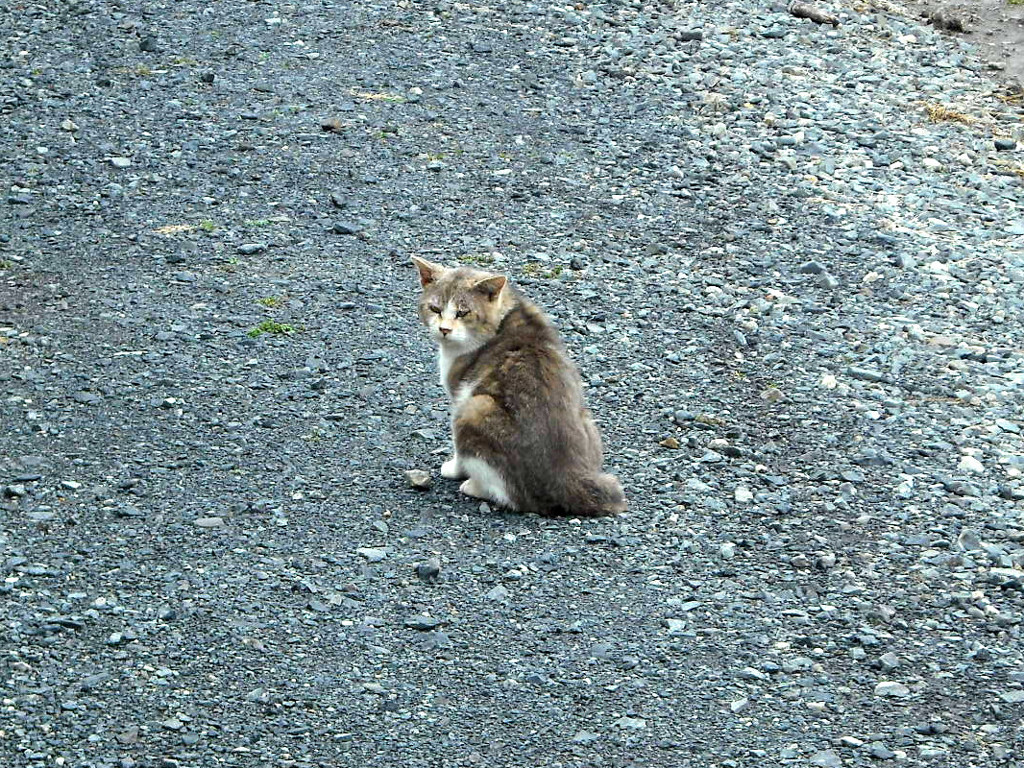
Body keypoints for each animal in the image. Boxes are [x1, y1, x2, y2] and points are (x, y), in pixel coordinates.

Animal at [407, 257, 622, 518]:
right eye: (435, 309)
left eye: (463, 312)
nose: (444, 329)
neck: (505, 314)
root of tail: (569, 480)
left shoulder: (459, 398)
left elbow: (457, 452)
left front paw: (453, 468)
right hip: (588, 418)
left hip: (474, 409)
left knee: (511, 495)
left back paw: (474, 485)